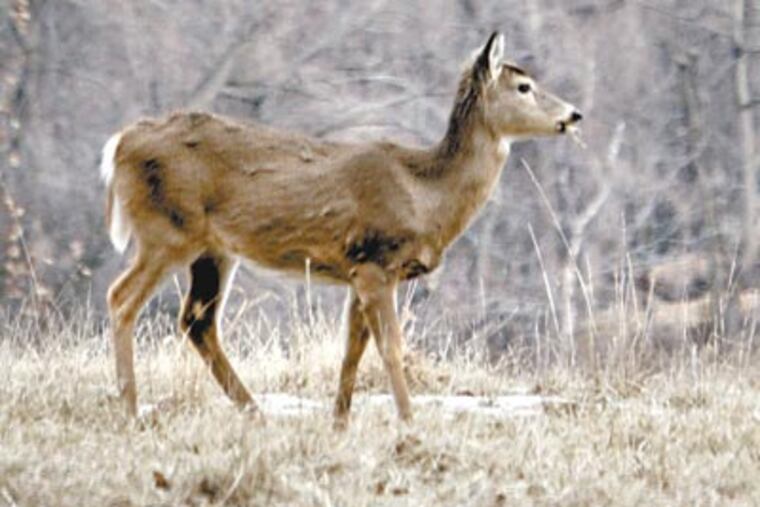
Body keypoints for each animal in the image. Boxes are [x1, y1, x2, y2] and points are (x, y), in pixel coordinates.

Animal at [100, 31, 582, 427]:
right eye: (524, 87)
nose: (574, 114)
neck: (425, 192)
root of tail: (119, 143)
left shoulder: (357, 270)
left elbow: (352, 351)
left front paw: (339, 424)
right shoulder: (376, 261)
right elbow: (391, 348)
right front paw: (409, 422)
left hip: (212, 249)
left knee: (197, 320)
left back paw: (256, 413)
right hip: (167, 230)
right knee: (122, 298)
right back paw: (130, 411)